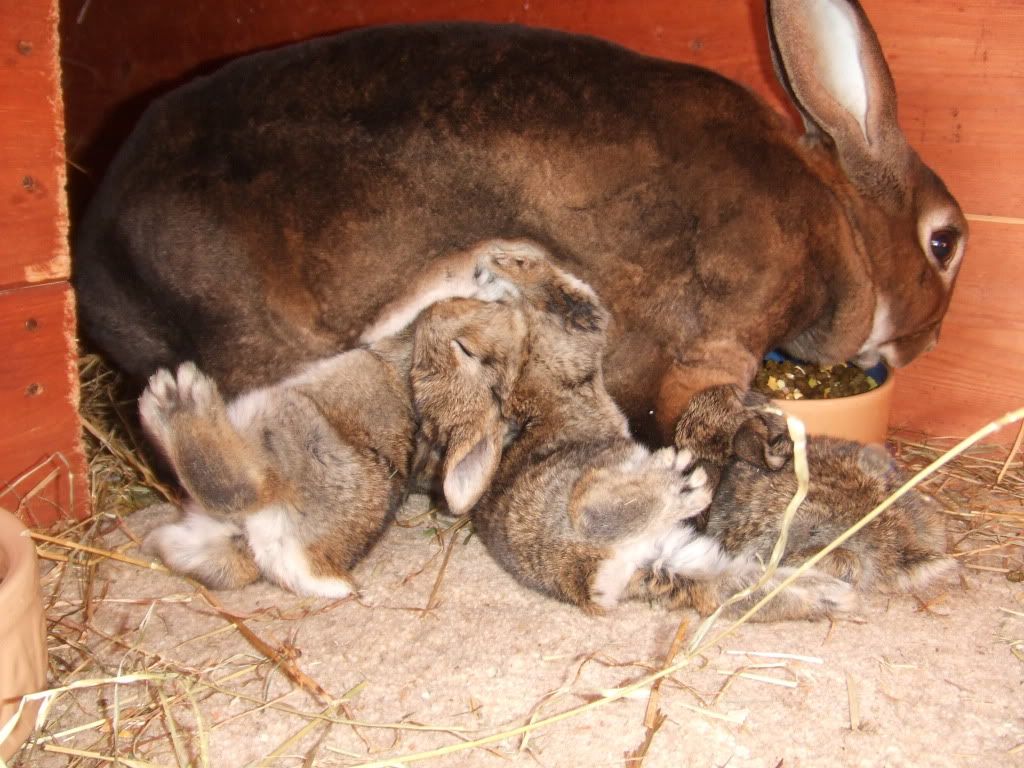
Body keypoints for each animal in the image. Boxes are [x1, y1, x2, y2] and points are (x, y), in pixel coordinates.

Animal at [74, 1, 966, 444]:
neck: (837, 214)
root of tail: (98, 261)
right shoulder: (716, 335)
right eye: (944, 242)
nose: (928, 343)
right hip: (253, 342)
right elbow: (682, 408)